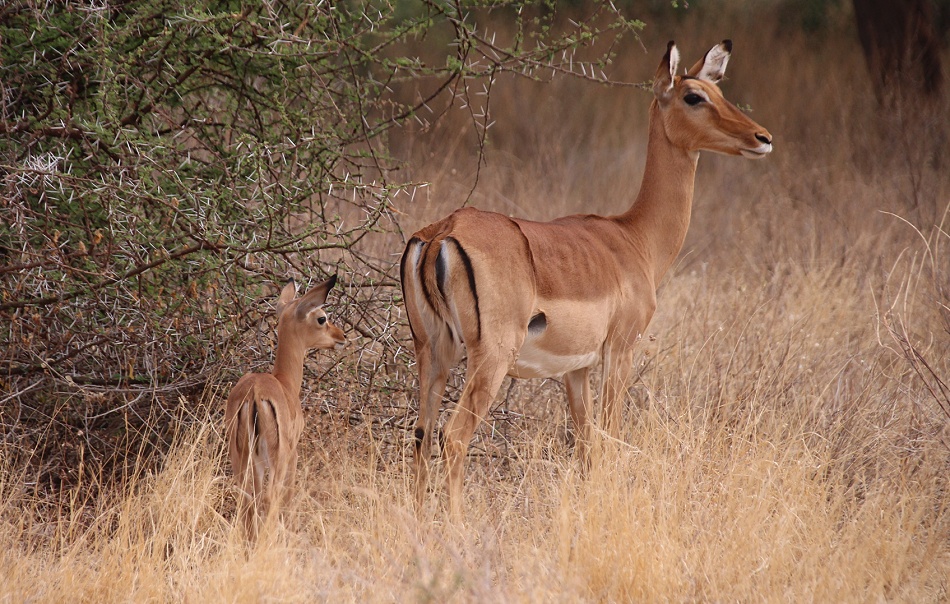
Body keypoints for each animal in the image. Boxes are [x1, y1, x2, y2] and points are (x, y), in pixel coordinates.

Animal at [225, 276, 345, 540]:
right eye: (322, 318)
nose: (341, 336)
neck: (285, 383)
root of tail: (254, 392)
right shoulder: (293, 456)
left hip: (241, 456)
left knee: (247, 499)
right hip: (277, 457)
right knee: (270, 497)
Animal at [400, 40, 772, 515]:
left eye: (719, 91)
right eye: (693, 96)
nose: (762, 138)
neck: (634, 238)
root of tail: (442, 233)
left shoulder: (575, 370)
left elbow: (587, 447)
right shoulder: (620, 351)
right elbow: (610, 439)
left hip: (432, 351)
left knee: (421, 434)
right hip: (490, 357)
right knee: (453, 437)